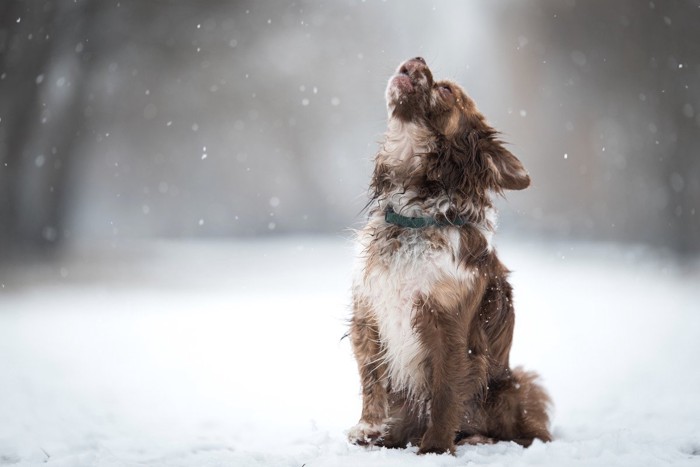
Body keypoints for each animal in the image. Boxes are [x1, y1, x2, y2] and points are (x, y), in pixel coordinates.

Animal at [348, 56, 548, 456]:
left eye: (446, 91)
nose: (416, 59)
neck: (414, 217)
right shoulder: (368, 314)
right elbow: (372, 378)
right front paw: (370, 429)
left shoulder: (451, 327)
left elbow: (445, 392)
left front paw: (435, 448)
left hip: (513, 388)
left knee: (520, 433)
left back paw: (475, 437)